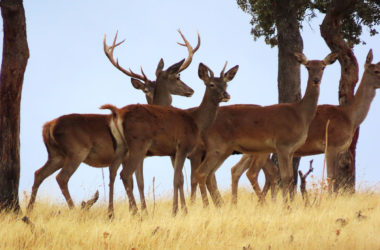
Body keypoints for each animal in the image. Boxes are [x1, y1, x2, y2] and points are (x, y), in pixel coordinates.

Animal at [26, 29, 199, 217]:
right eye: (178, 76)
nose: (191, 90)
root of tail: (48, 126)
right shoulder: (137, 153)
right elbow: (139, 181)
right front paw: (143, 211)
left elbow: (137, 181)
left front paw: (138, 210)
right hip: (76, 151)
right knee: (62, 178)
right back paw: (74, 210)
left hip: (56, 154)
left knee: (38, 174)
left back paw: (29, 210)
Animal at [102, 62, 239, 215]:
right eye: (211, 84)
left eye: (226, 84)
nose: (226, 95)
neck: (196, 122)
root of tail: (118, 115)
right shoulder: (184, 147)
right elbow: (179, 179)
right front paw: (179, 211)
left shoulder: (173, 152)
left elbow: (179, 179)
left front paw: (180, 209)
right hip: (138, 144)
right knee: (125, 174)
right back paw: (137, 214)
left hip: (121, 147)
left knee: (113, 171)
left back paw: (111, 213)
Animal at [193, 51, 338, 206]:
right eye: (308, 67)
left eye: (323, 67)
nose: (316, 80)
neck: (300, 115)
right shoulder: (282, 145)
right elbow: (285, 177)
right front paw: (285, 206)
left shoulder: (292, 150)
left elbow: (290, 177)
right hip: (217, 146)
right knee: (202, 172)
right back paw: (209, 206)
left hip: (225, 150)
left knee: (210, 174)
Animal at [229, 49, 380, 203]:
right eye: (376, 71)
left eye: (323, 67)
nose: (316, 80)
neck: (349, 117)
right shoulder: (330, 145)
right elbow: (331, 176)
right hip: (261, 150)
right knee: (255, 172)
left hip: (250, 151)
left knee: (238, 170)